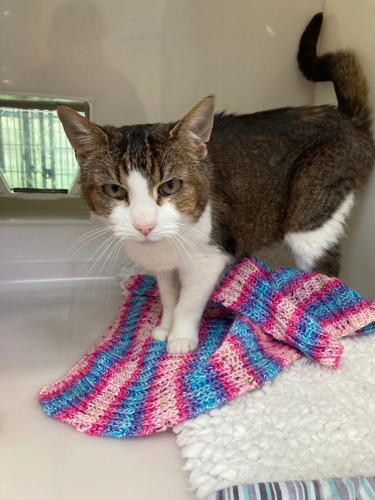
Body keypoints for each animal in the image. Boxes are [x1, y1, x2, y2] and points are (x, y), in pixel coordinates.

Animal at [57, 12, 374, 356]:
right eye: (114, 190)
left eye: (170, 186)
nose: (144, 226)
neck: (163, 247)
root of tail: (344, 118)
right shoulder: (164, 267)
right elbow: (169, 295)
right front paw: (164, 326)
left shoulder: (209, 259)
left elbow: (188, 301)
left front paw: (180, 339)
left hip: (313, 213)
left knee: (324, 269)